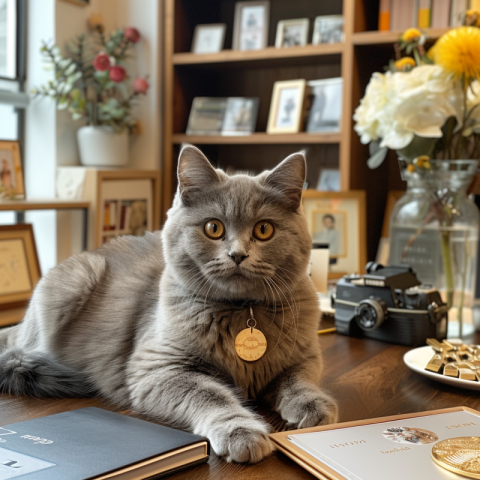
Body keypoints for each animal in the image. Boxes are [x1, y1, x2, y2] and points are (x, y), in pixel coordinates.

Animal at [0, 145, 338, 462]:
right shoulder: (157, 368)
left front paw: (315, 407)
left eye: (264, 229)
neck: (243, 311)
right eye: (213, 228)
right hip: (73, 285)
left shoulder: (304, 355)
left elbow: (300, 381)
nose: (238, 255)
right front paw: (240, 432)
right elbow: (211, 395)